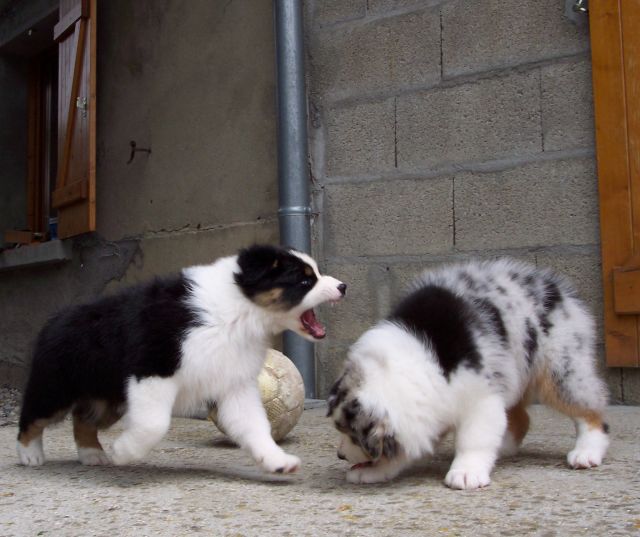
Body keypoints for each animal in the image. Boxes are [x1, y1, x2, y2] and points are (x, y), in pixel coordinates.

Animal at [16, 244, 344, 474]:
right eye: (304, 281)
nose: (343, 286)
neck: (238, 311)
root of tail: (56, 317)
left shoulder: (234, 384)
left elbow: (255, 425)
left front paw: (277, 461)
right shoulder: (152, 371)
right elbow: (154, 424)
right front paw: (124, 452)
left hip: (108, 398)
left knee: (83, 419)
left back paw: (92, 454)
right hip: (56, 386)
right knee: (33, 416)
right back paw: (30, 454)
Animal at [328, 258, 608, 488]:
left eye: (352, 434)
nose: (340, 455)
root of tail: (560, 289)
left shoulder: (481, 398)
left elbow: (474, 438)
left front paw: (466, 473)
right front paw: (371, 472)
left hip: (561, 368)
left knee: (590, 412)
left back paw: (586, 453)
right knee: (520, 419)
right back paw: (503, 448)